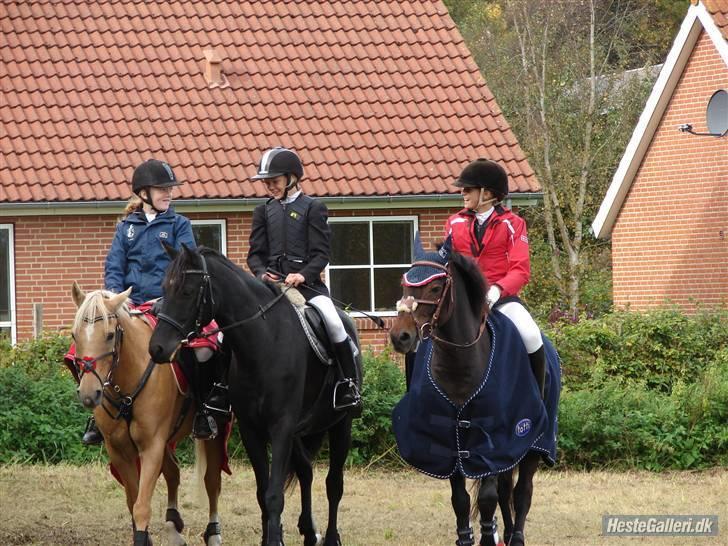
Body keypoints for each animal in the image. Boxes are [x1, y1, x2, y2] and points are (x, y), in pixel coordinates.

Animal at [71, 282, 226, 544]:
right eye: (75, 335)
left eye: (110, 335)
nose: (89, 394)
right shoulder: (120, 451)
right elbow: (132, 501)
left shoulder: (151, 446)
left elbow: (142, 506)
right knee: (173, 472)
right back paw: (173, 526)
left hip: (215, 431)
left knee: (212, 481)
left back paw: (213, 533)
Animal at [149, 244, 362, 544]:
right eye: (165, 288)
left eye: (187, 291)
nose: (156, 348)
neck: (264, 342)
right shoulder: (252, 430)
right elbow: (263, 493)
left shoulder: (281, 427)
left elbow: (274, 495)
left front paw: (274, 539)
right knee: (306, 471)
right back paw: (309, 532)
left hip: (341, 423)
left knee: (334, 483)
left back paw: (331, 537)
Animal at [390, 239, 560, 544]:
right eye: (405, 283)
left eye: (436, 288)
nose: (401, 337)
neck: (461, 363)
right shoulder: (450, 442)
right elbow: (460, 500)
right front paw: (466, 539)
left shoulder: (491, 440)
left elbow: (487, 498)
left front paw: (486, 537)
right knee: (506, 491)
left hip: (532, 444)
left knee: (522, 491)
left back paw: (516, 537)